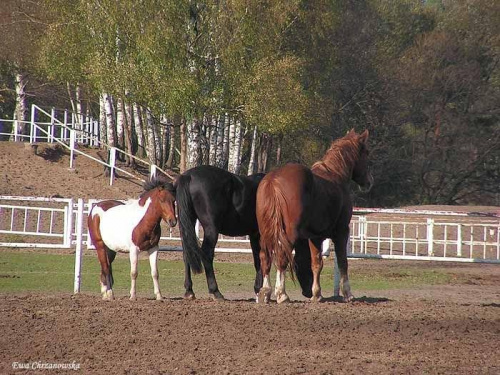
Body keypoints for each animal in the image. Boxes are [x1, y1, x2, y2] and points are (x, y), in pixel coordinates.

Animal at [174, 166, 266, 302]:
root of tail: (188, 176)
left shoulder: (254, 235)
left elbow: (258, 260)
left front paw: (259, 290)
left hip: (187, 223)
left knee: (187, 253)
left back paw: (189, 291)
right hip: (211, 229)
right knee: (207, 254)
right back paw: (215, 291)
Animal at [258, 131, 372, 304]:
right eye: (366, 152)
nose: (369, 181)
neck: (335, 175)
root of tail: (274, 179)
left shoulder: (314, 237)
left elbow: (316, 264)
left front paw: (316, 294)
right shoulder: (342, 231)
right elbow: (342, 262)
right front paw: (348, 293)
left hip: (265, 233)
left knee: (265, 257)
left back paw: (265, 292)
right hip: (288, 234)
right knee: (282, 258)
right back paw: (281, 294)